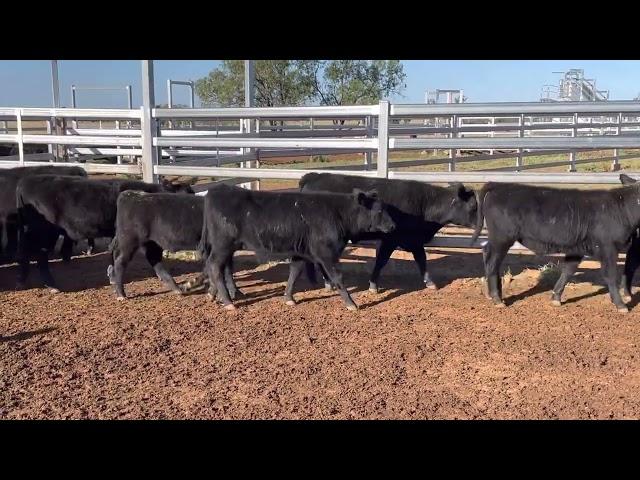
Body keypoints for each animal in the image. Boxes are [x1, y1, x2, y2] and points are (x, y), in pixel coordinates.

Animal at [15, 174, 192, 290]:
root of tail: (25, 182)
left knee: (24, 253)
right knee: (40, 256)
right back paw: (51, 284)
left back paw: (22, 280)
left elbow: (112, 253)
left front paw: (112, 276)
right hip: (44, 233)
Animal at [200, 184, 396, 312]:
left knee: (218, 267)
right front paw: (351, 304)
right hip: (222, 245)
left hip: (226, 247)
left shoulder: (301, 253)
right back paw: (227, 301)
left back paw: (215, 293)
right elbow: (337, 277)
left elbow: (294, 273)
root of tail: (217, 190)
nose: (393, 226)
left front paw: (289, 298)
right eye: (379, 211)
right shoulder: (327, 254)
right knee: (215, 266)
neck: (338, 213)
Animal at [300, 172, 476, 292]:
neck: (424, 204)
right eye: (473, 206)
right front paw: (373, 285)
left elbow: (422, 259)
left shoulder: (414, 241)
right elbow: (381, 260)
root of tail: (313, 177)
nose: (479, 222)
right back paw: (328, 282)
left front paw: (430, 282)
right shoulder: (391, 239)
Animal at [472, 182, 640, 314]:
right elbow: (610, 275)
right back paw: (497, 298)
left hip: (499, 239)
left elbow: (568, 270)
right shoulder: (608, 247)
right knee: (492, 261)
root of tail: (498, 185)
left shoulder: (576, 249)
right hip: (502, 238)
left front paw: (556, 297)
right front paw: (621, 305)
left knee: (487, 253)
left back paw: (492, 294)